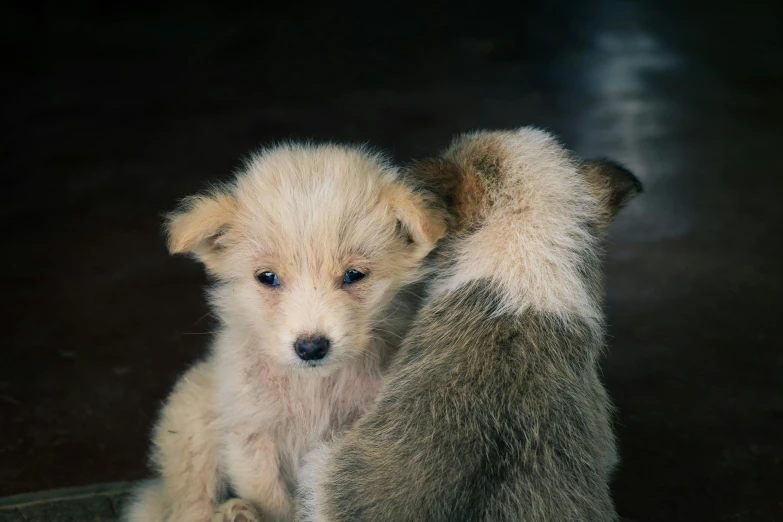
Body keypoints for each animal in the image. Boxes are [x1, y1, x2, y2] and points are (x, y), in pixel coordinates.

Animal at [125, 142, 450, 520]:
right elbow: (274, 504)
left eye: (354, 275)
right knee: (190, 505)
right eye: (267, 277)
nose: (311, 347)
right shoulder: (252, 438)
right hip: (192, 427)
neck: (313, 388)